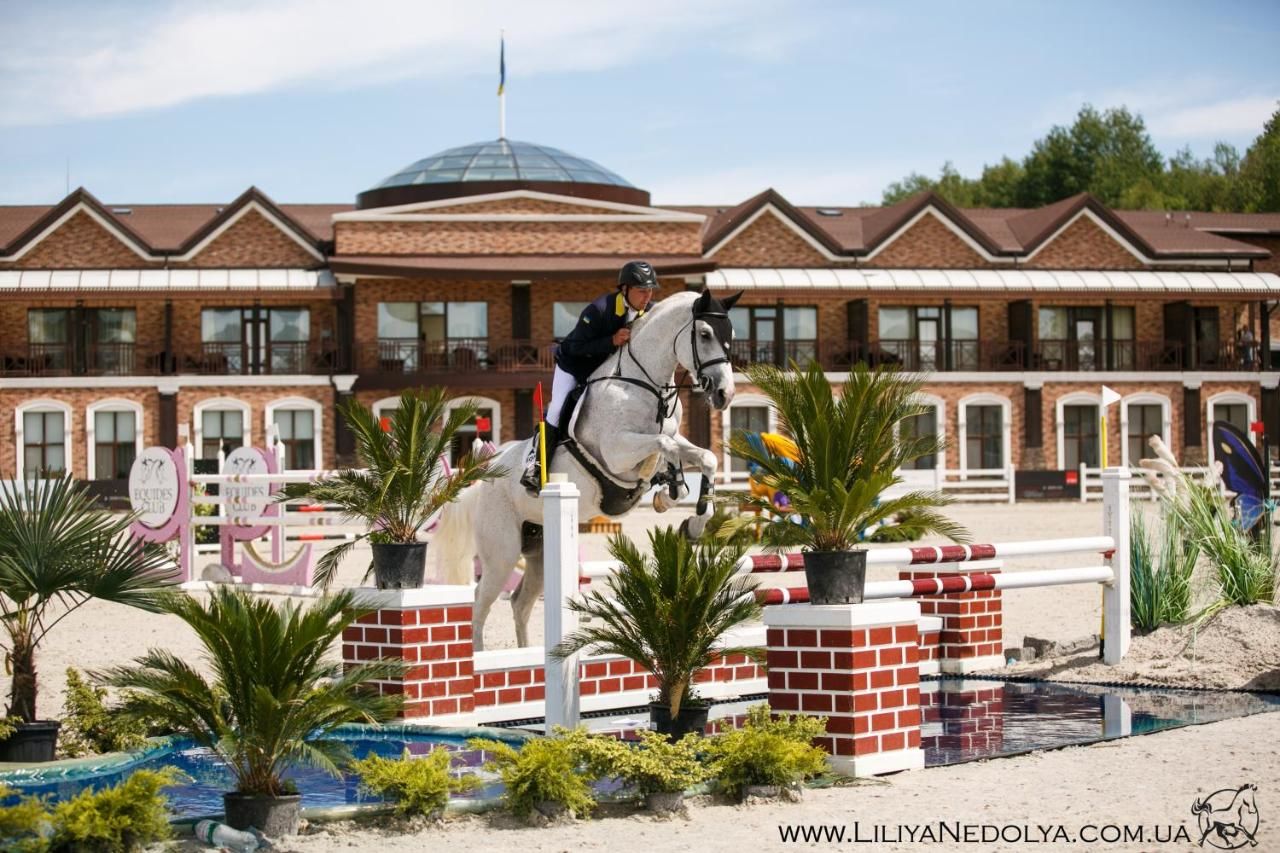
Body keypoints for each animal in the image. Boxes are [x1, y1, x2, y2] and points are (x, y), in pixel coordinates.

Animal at [435, 289, 742, 648]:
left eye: (730, 335)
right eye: (705, 334)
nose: (724, 394)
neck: (645, 384)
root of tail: (486, 479)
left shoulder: (674, 437)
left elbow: (703, 457)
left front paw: (689, 520)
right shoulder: (617, 451)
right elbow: (661, 445)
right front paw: (668, 488)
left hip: (538, 551)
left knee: (520, 603)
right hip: (502, 554)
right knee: (480, 605)